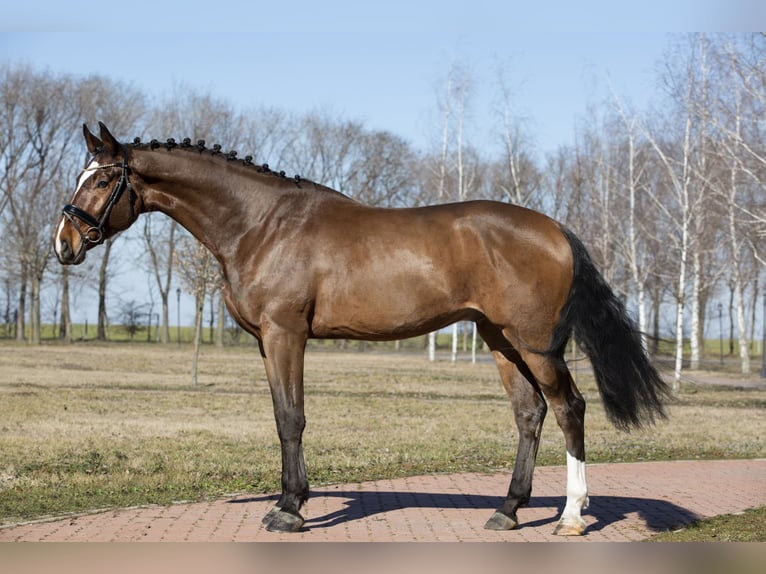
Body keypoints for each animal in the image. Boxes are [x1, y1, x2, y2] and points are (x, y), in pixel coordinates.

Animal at [52, 124, 672, 536]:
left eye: (102, 179)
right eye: (82, 175)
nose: (66, 242)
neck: (261, 223)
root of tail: (557, 230)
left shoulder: (285, 334)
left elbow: (291, 418)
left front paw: (289, 509)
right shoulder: (265, 343)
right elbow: (281, 416)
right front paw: (287, 500)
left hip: (535, 345)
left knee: (569, 408)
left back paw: (570, 516)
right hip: (500, 341)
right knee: (530, 414)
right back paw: (507, 511)